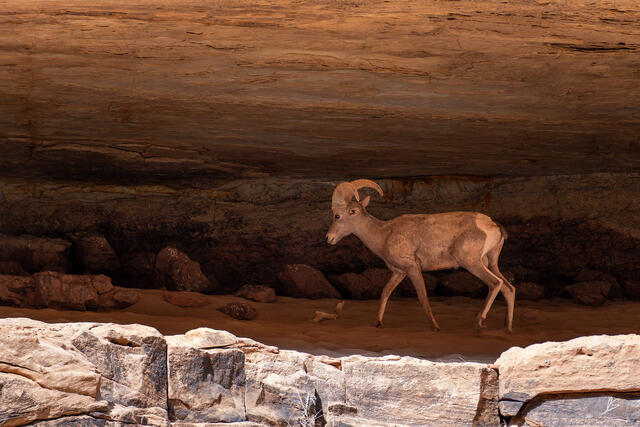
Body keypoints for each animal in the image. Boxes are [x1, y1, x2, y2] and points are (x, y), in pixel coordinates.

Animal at [325, 179, 516, 333]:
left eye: (337, 216)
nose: (329, 238)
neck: (384, 234)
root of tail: (494, 226)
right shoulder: (399, 272)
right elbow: (385, 292)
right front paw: (377, 322)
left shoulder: (412, 268)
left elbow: (422, 297)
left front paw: (435, 327)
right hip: (490, 262)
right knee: (509, 288)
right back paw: (507, 328)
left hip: (473, 263)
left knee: (495, 283)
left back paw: (479, 322)